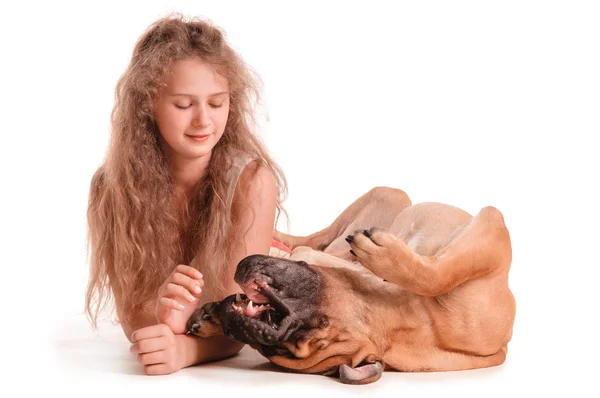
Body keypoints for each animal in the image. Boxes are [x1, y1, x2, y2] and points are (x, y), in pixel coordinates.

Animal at [188, 188, 516, 384]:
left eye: (278, 347)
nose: (238, 326)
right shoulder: (491, 225)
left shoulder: (490, 231)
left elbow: (438, 274)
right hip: (387, 197)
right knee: (311, 238)